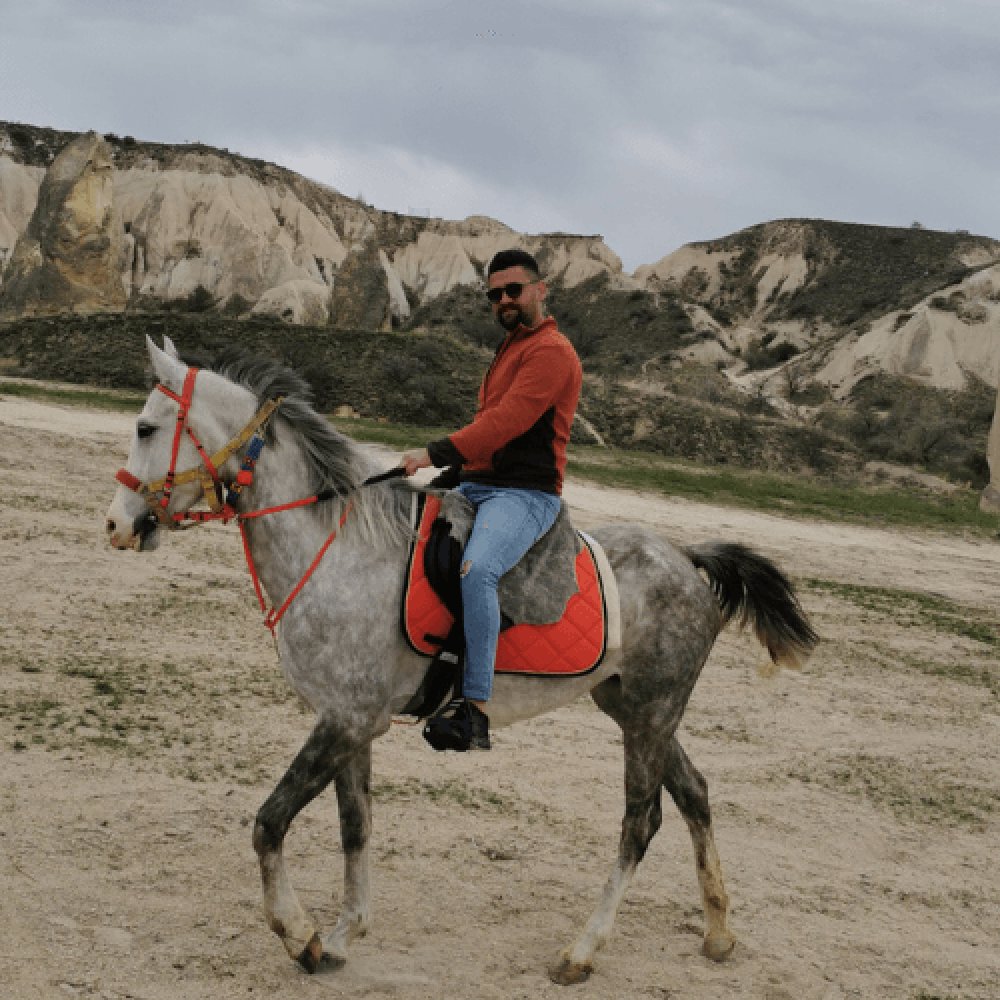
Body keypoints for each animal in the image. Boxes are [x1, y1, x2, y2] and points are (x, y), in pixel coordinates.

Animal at [105, 336, 818, 985]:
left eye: (145, 427)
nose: (115, 524)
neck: (339, 551)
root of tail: (687, 557)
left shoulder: (344, 721)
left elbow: (269, 823)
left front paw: (300, 935)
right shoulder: (350, 723)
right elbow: (355, 825)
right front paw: (342, 934)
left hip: (649, 715)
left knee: (641, 822)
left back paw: (583, 951)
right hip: (637, 710)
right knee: (694, 792)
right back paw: (719, 932)